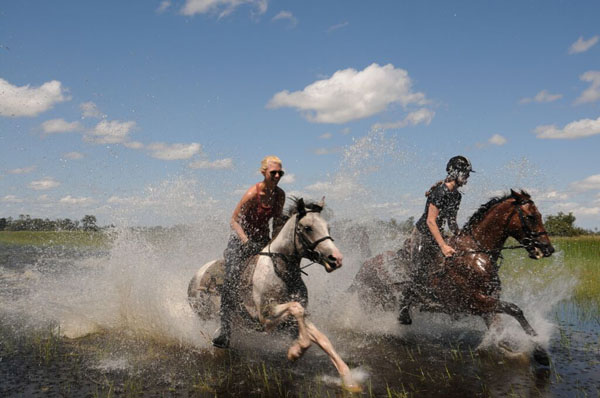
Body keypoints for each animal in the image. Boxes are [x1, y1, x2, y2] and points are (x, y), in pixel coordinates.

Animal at [352, 190, 552, 364]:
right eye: (531, 217)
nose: (548, 249)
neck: (475, 253)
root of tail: (362, 267)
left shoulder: (485, 304)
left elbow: (499, 329)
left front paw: (518, 350)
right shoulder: (473, 301)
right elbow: (515, 309)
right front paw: (540, 352)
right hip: (372, 303)